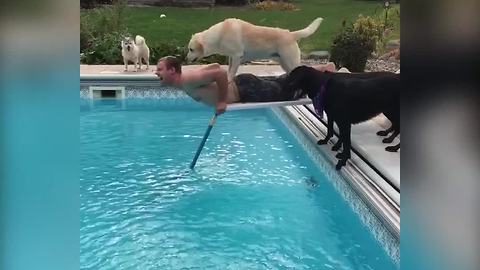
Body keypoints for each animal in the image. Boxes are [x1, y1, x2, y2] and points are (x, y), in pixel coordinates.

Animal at [187, 17, 322, 79]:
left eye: (191, 49)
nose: (186, 59)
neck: (220, 34)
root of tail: (291, 34)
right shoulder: (231, 57)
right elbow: (229, 70)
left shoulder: (237, 56)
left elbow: (232, 72)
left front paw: (229, 81)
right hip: (284, 63)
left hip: (290, 61)